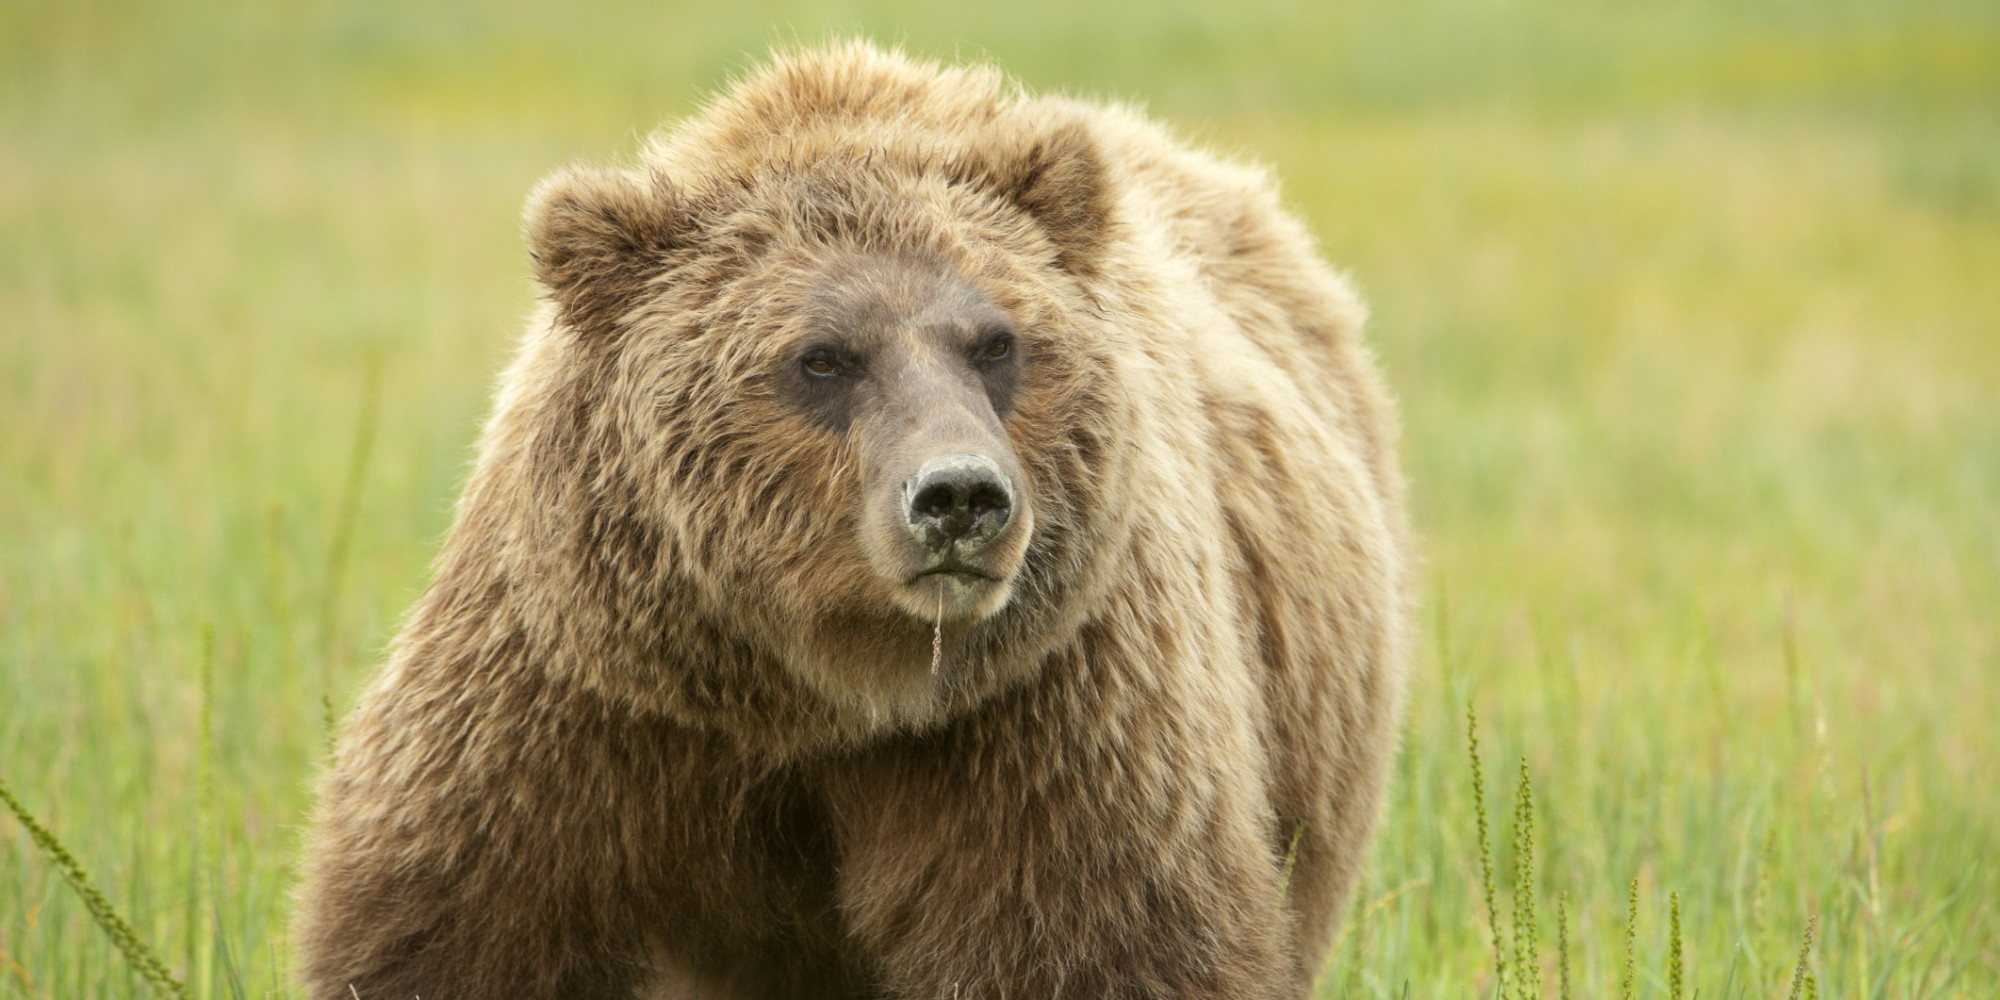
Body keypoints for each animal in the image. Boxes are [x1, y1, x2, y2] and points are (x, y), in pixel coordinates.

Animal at [296, 41, 1416, 1000]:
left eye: (997, 343)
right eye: (823, 357)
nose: (959, 496)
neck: (821, 691)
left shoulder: (1045, 712)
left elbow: (1097, 938)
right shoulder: (586, 695)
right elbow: (461, 918)